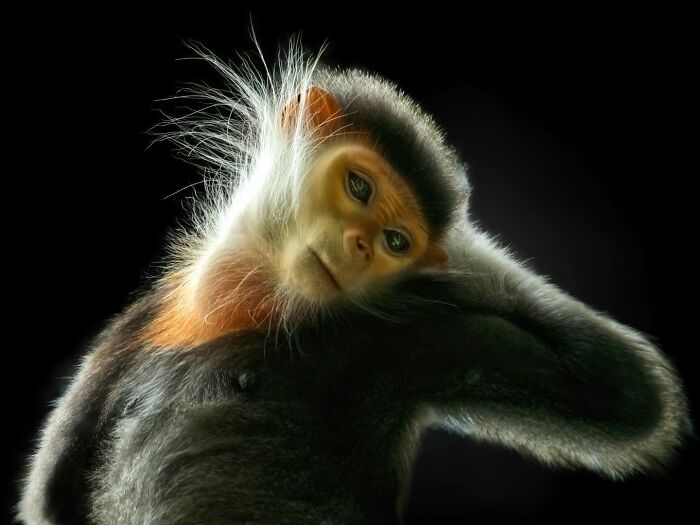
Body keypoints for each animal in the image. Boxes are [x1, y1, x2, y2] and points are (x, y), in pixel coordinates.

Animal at [18, 41, 690, 525]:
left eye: (396, 242)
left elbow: (624, 392)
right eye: (359, 187)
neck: (244, 313)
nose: (363, 247)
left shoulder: (413, 349)